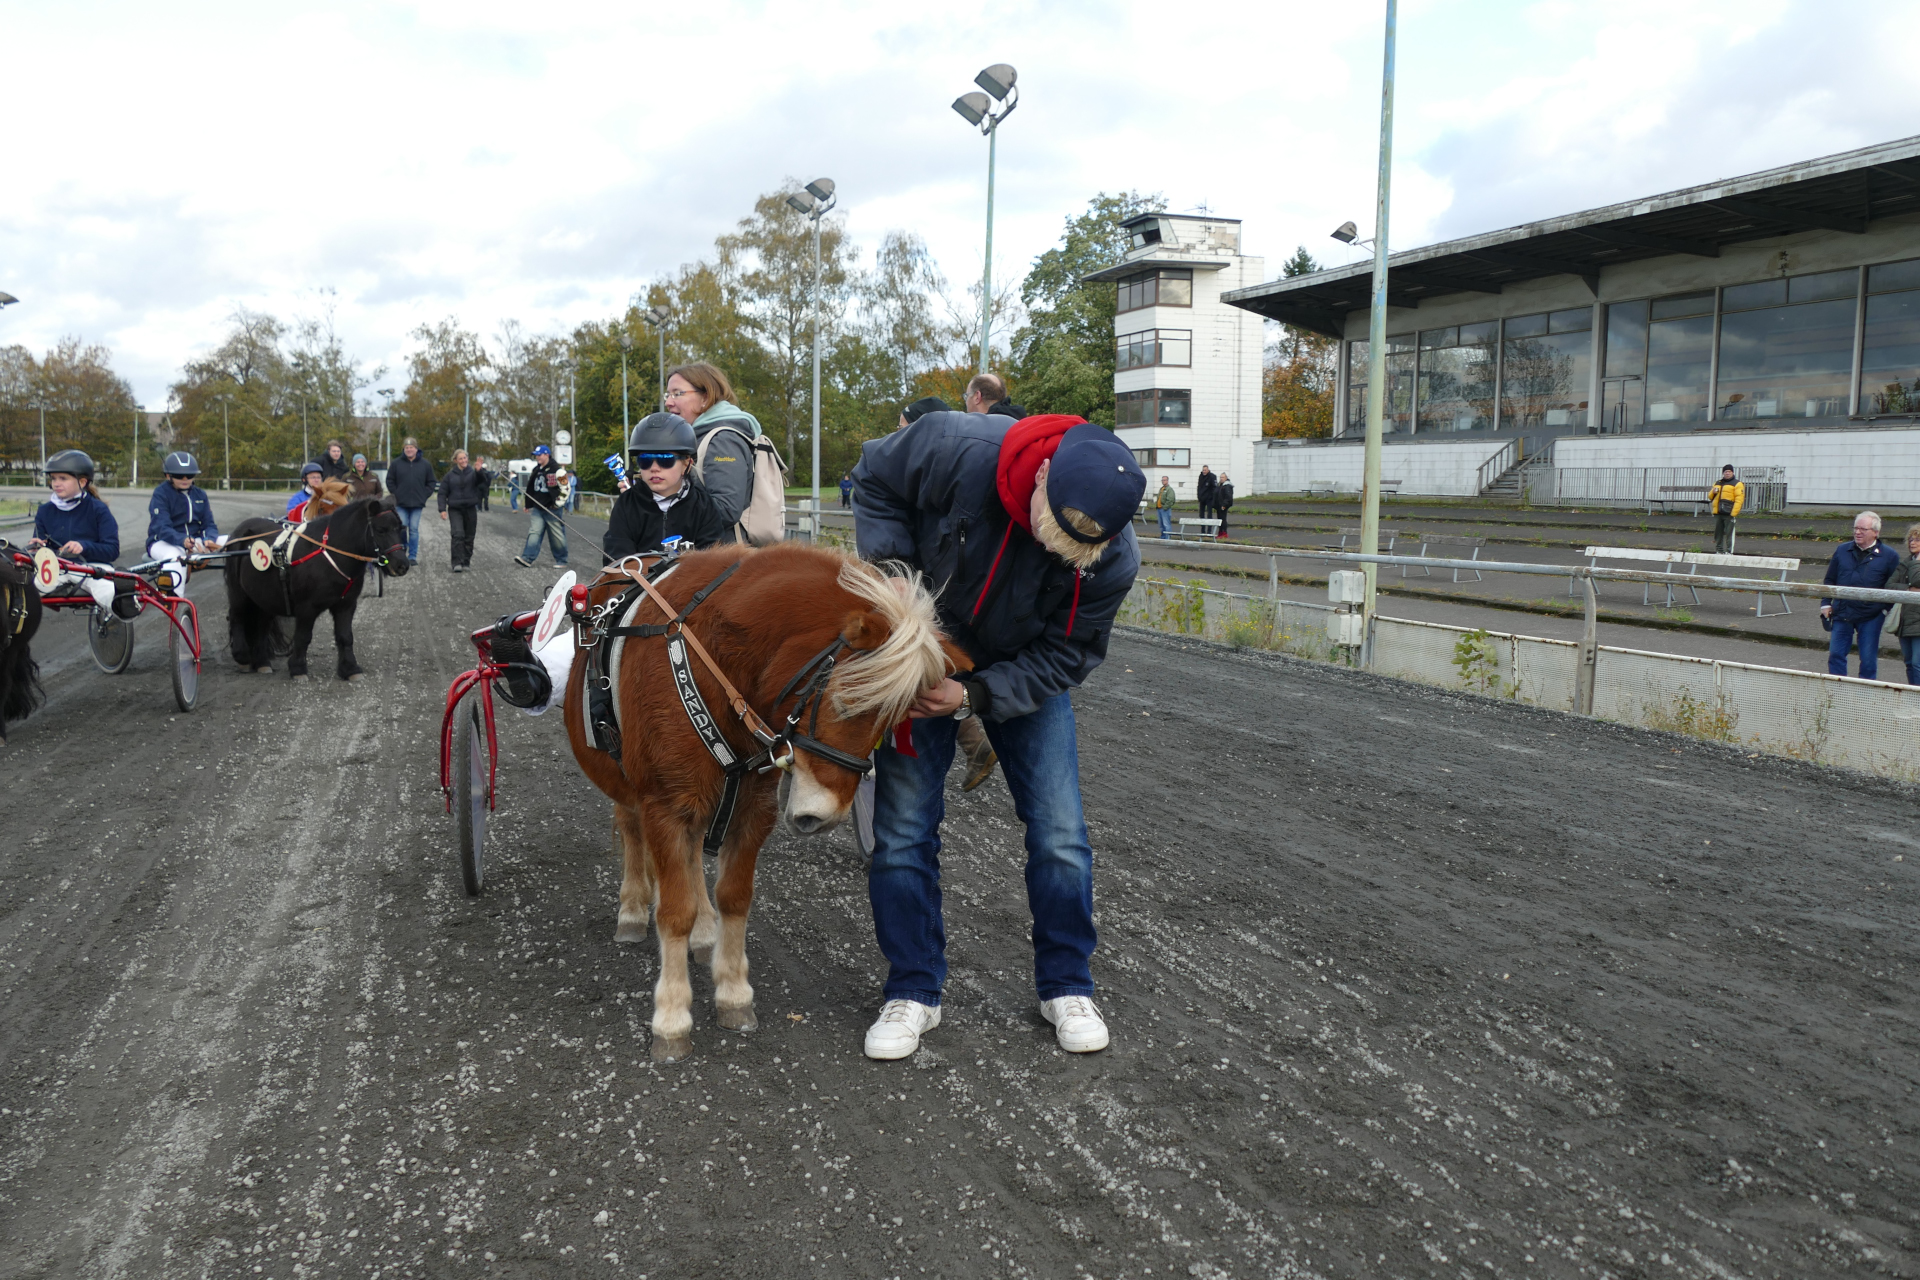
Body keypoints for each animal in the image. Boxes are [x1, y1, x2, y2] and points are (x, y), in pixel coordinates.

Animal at [224, 495, 411, 679]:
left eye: (400, 528)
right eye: (381, 530)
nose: (402, 565)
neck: (329, 554)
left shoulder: (346, 605)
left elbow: (345, 636)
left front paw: (350, 669)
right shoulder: (306, 607)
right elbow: (303, 637)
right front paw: (298, 669)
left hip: (264, 596)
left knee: (262, 624)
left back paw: (262, 663)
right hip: (238, 592)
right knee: (236, 616)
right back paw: (242, 657)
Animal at [563, 543, 961, 1061]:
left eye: (892, 721)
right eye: (845, 701)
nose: (822, 816)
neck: (713, 665)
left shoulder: (753, 807)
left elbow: (735, 897)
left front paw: (733, 992)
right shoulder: (666, 806)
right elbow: (673, 911)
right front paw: (671, 1017)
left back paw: (704, 931)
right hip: (627, 783)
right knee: (632, 829)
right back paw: (632, 908)